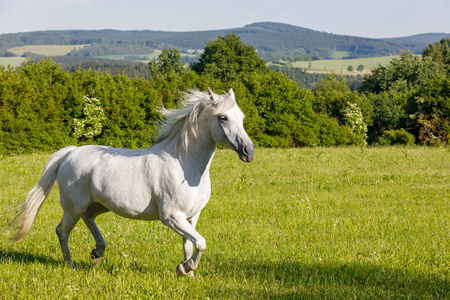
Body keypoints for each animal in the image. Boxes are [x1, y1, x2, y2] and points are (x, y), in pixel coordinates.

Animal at [9, 88, 253, 276]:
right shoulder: (171, 217)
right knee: (62, 230)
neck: (185, 165)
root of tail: (70, 152)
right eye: (223, 117)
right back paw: (71, 264)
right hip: (73, 207)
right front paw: (184, 268)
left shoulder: (191, 217)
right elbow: (200, 243)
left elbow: (189, 244)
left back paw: (97, 252)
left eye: (241, 117)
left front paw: (187, 273)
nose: (248, 152)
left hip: (101, 205)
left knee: (88, 218)